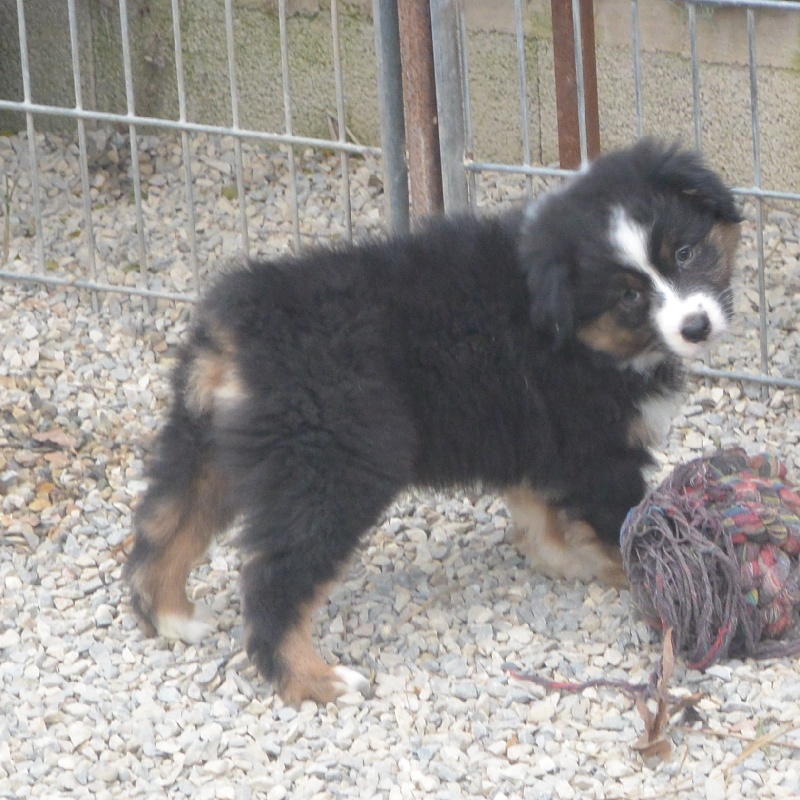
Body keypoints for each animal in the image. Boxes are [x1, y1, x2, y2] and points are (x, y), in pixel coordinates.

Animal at [124, 139, 741, 705]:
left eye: (685, 253)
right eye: (628, 295)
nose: (696, 326)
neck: (562, 321)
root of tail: (236, 325)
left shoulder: (535, 432)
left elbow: (539, 509)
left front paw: (567, 560)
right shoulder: (599, 450)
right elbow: (628, 528)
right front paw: (660, 588)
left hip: (206, 443)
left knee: (164, 525)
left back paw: (172, 616)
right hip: (334, 464)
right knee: (273, 580)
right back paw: (315, 680)